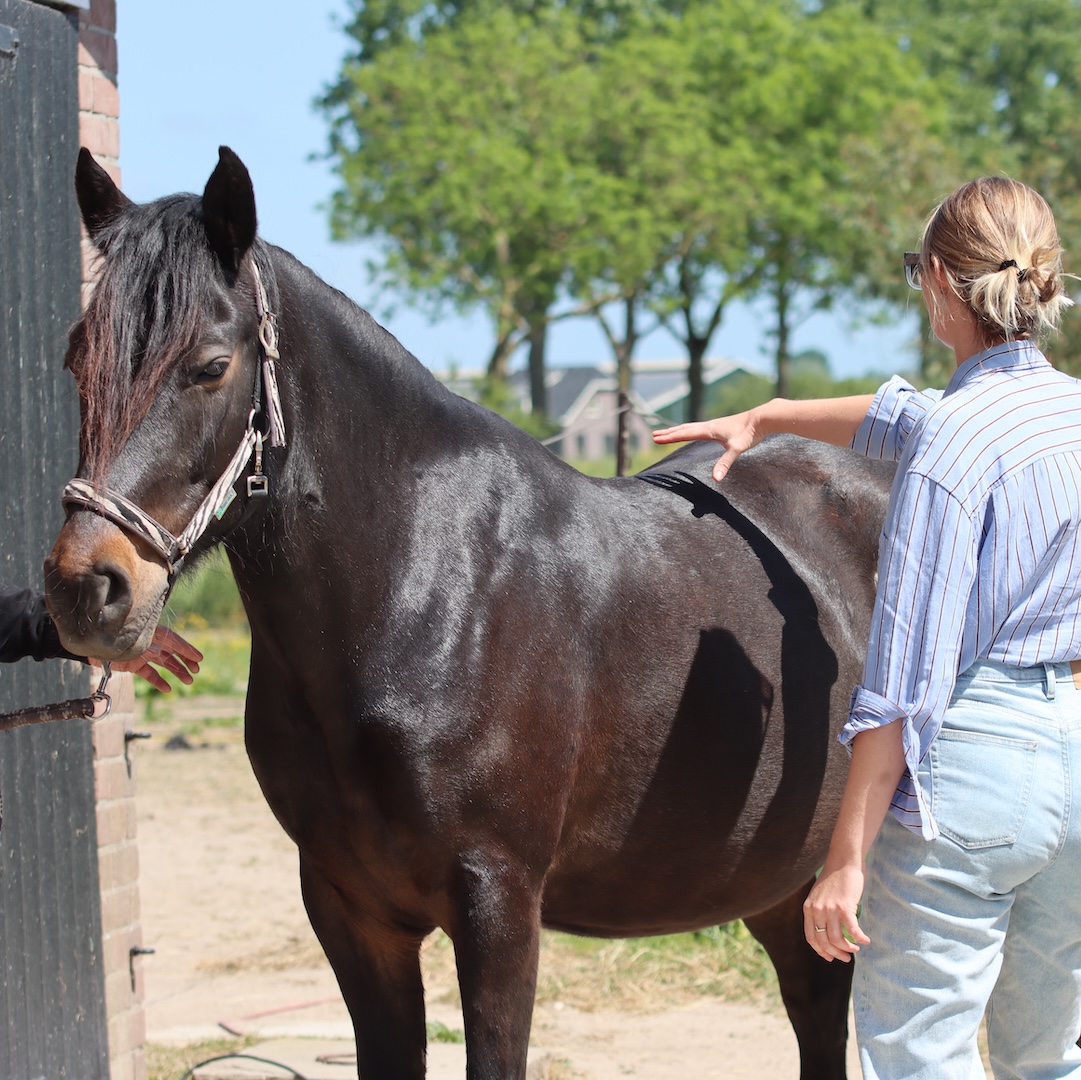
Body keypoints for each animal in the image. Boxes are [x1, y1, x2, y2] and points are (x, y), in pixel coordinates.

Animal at [44, 147, 894, 1079]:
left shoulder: (498, 904)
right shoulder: (350, 911)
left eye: (209, 365)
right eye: (77, 359)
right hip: (788, 882)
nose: (89, 588)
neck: (425, 590)